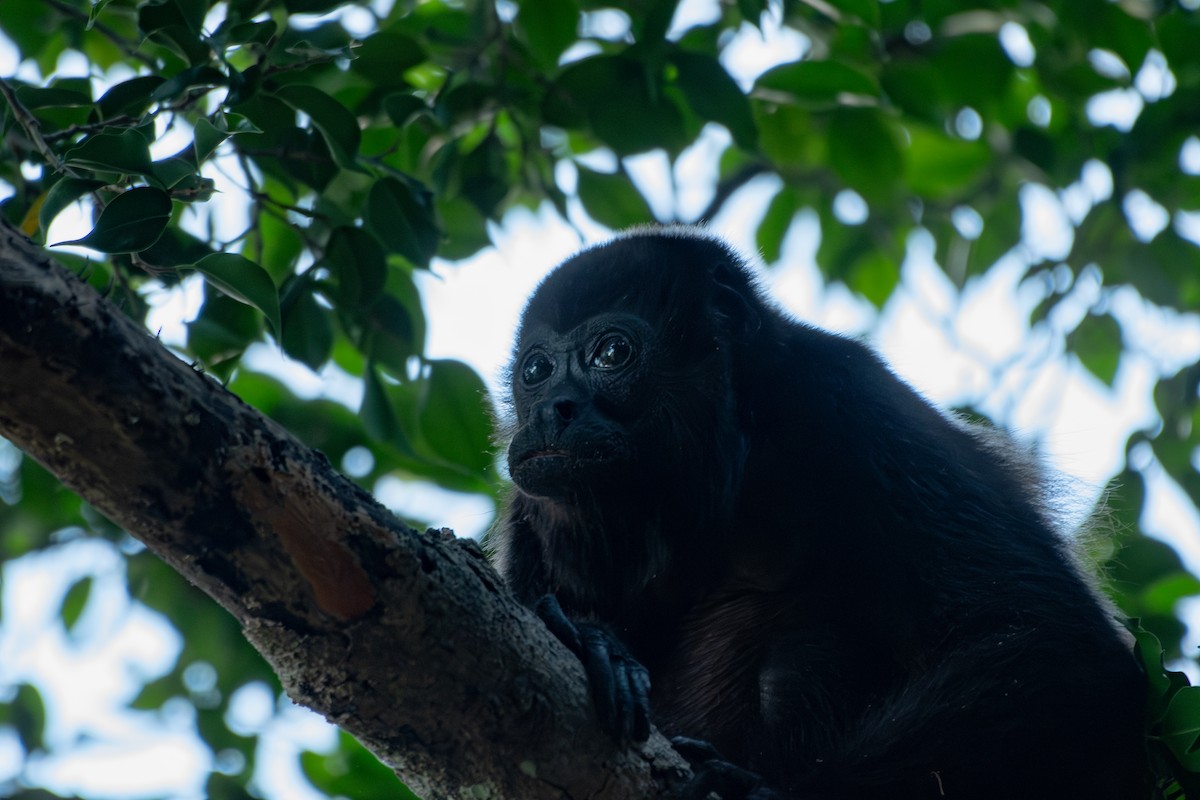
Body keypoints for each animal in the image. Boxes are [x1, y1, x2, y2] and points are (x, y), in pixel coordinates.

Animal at [489, 227, 1145, 799]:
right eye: (535, 370)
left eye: (612, 353)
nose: (550, 410)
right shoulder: (530, 507)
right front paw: (582, 636)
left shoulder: (845, 394)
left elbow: (1054, 637)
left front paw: (765, 792)